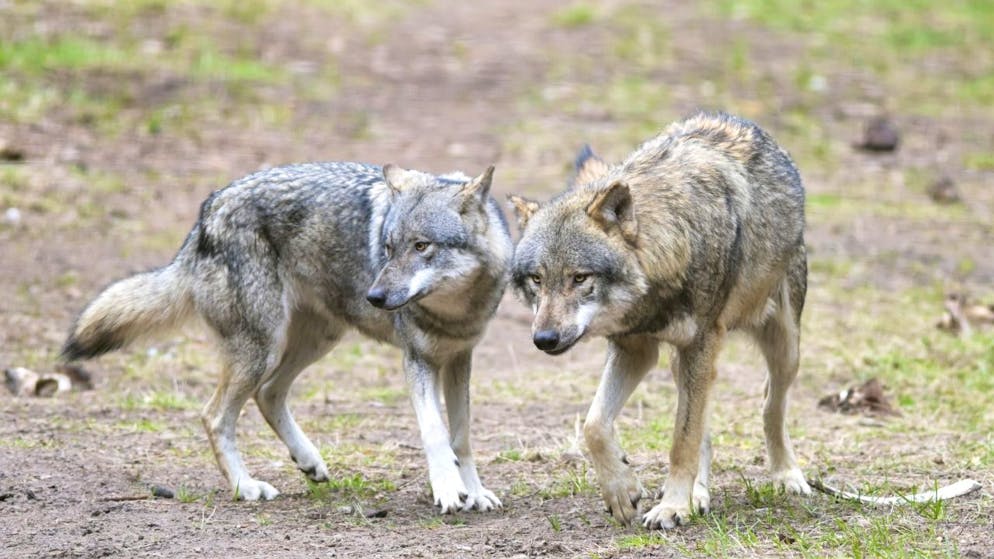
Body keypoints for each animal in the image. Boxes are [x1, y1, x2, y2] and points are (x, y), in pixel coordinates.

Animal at [62, 161, 512, 513]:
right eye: (387, 247)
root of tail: (207, 212)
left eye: (421, 246)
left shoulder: (459, 359)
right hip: (262, 349)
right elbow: (435, 433)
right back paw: (246, 487)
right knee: (214, 415)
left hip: (316, 340)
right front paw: (449, 491)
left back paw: (308, 461)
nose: (375, 297)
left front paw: (474, 492)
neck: (455, 310)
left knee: (268, 394)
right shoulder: (417, 360)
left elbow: (461, 437)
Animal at [509, 112, 811, 529]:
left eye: (580, 278)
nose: (545, 339)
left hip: (783, 348)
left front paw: (671, 506)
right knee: (705, 426)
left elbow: (682, 441)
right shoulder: (635, 349)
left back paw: (786, 475)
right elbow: (594, 425)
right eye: (537, 280)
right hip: (681, 361)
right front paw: (623, 491)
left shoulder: (699, 343)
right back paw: (699, 494)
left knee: (769, 404)